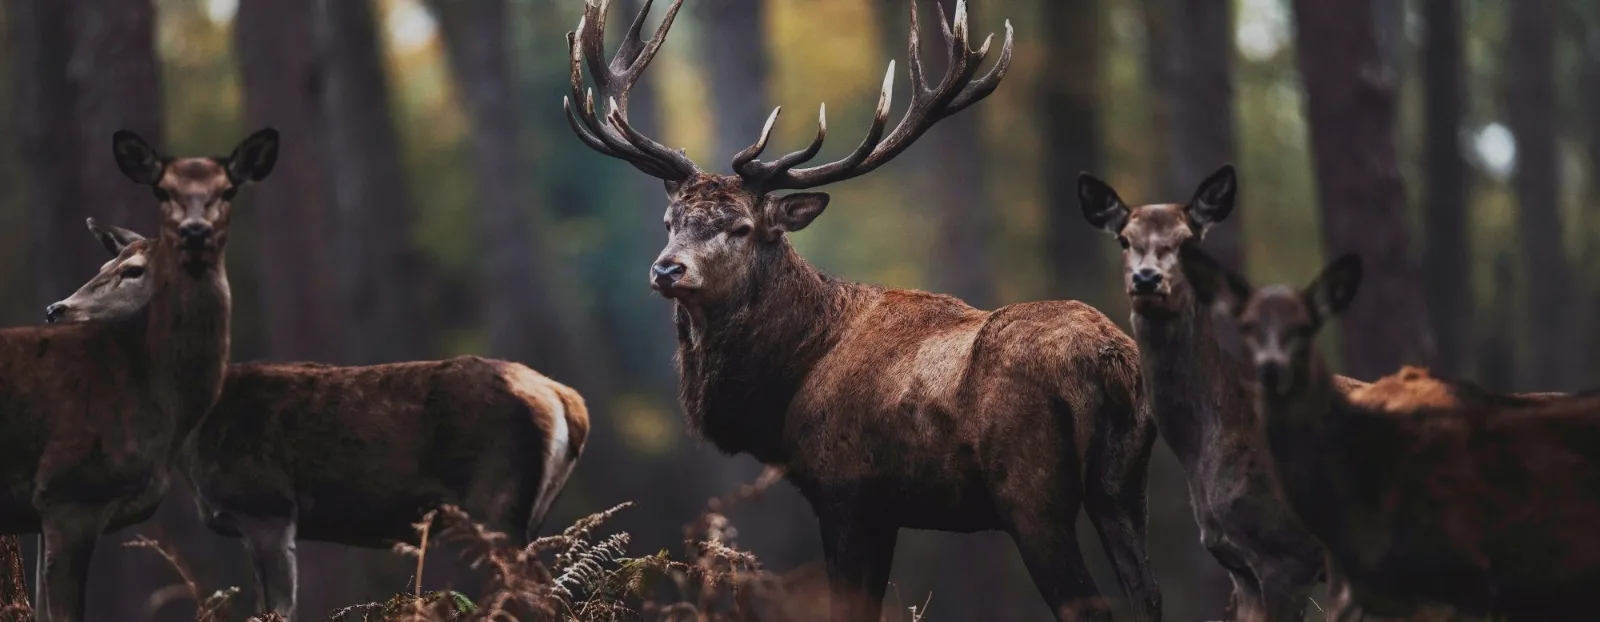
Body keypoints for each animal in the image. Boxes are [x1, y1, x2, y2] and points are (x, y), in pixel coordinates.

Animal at [47, 223, 591, 620]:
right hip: (522, 515)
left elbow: (277, 611)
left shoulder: (266, 505)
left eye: (133, 270)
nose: (57, 309)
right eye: (103, 264)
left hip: (493, 502)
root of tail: (565, 400)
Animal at [562, 1, 1160, 620]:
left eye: (742, 226)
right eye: (670, 221)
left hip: (1030, 489)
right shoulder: (884, 510)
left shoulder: (844, 489)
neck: (789, 383)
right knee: (1147, 593)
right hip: (1125, 484)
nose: (666, 270)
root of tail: (1110, 361)